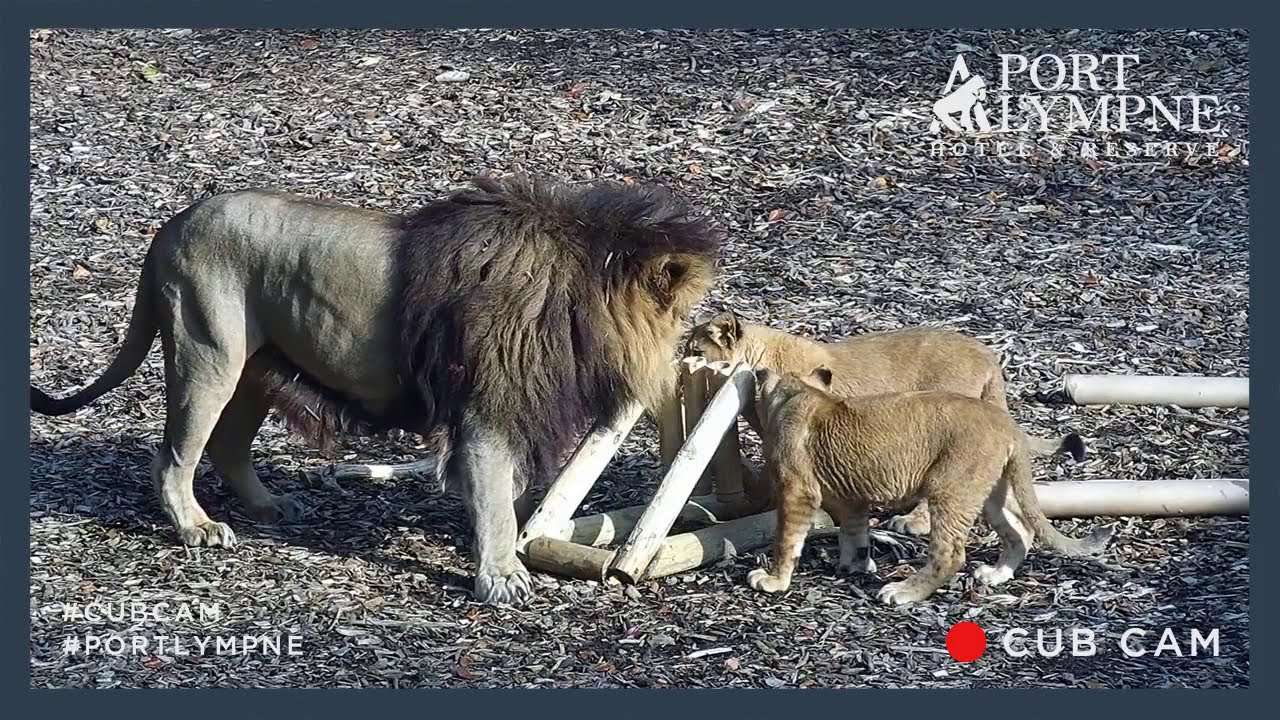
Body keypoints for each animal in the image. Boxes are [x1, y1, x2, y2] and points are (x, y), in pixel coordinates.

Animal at [30, 174, 722, 606]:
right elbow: (496, 496)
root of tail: (171, 225)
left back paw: (271, 507)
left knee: (226, 447)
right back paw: (196, 528)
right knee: (173, 455)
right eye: (683, 315)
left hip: (255, 369)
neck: (580, 301)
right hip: (208, 355)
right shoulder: (485, 413)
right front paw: (502, 576)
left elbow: (510, 494)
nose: (696, 346)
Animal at [745, 367, 1114, 606]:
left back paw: (903, 592)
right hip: (990, 492)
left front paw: (773, 580)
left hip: (949, 488)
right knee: (1021, 530)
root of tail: (1008, 424)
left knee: (949, 553)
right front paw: (855, 565)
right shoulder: (850, 495)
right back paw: (996, 574)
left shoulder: (798, 489)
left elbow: (786, 538)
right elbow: (855, 531)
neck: (800, 392)